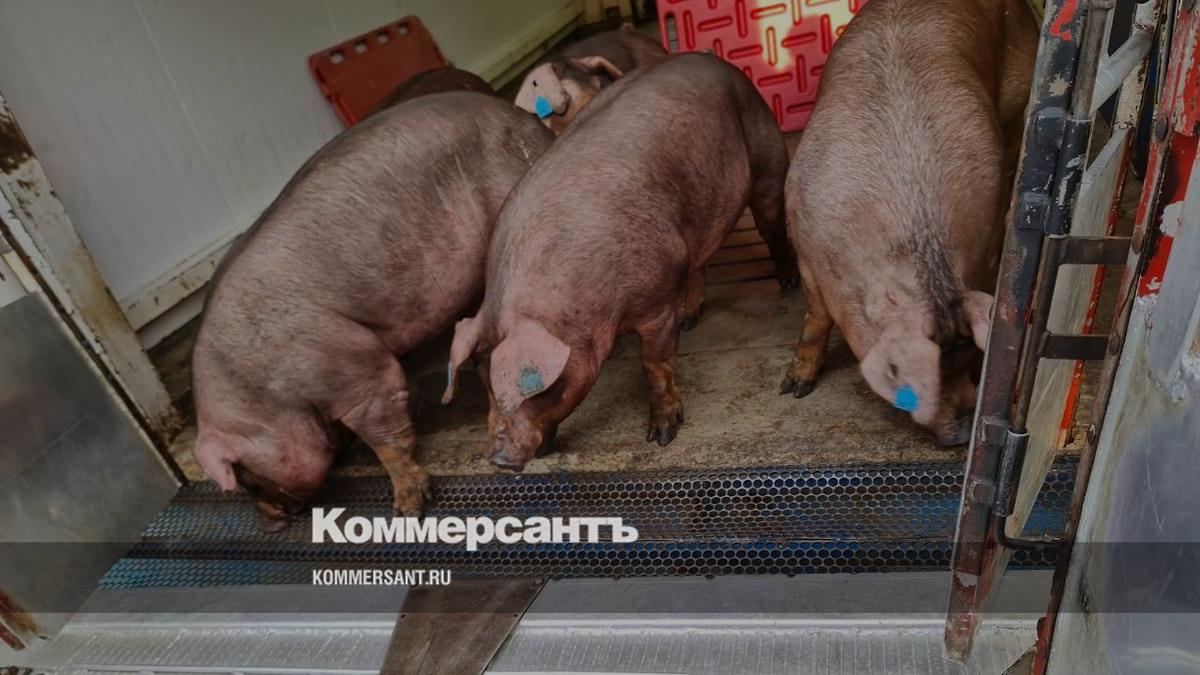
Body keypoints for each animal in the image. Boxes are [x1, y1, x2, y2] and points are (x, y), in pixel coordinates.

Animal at [191, 92, 553, 529]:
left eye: (244, 477)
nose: (269, 524)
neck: (264, 392)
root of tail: (524, 118)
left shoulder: (353, 366)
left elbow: (385, 431)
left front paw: (407, 510)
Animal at [444, 53, 800, 471]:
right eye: (485, 384)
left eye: (536, 389)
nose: (498, 459)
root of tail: (715, 60)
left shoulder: (656, 297)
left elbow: (655, 364)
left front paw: (662, 437)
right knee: (698, 262)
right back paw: (691, 318)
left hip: (766, 156)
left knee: (771, 225)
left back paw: (788, 284)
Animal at [777, 0, 1038, 446]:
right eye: (914, 380)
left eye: (973, 363)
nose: (965, 432)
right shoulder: (805, 250)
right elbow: (815, 318)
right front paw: (793, 390)